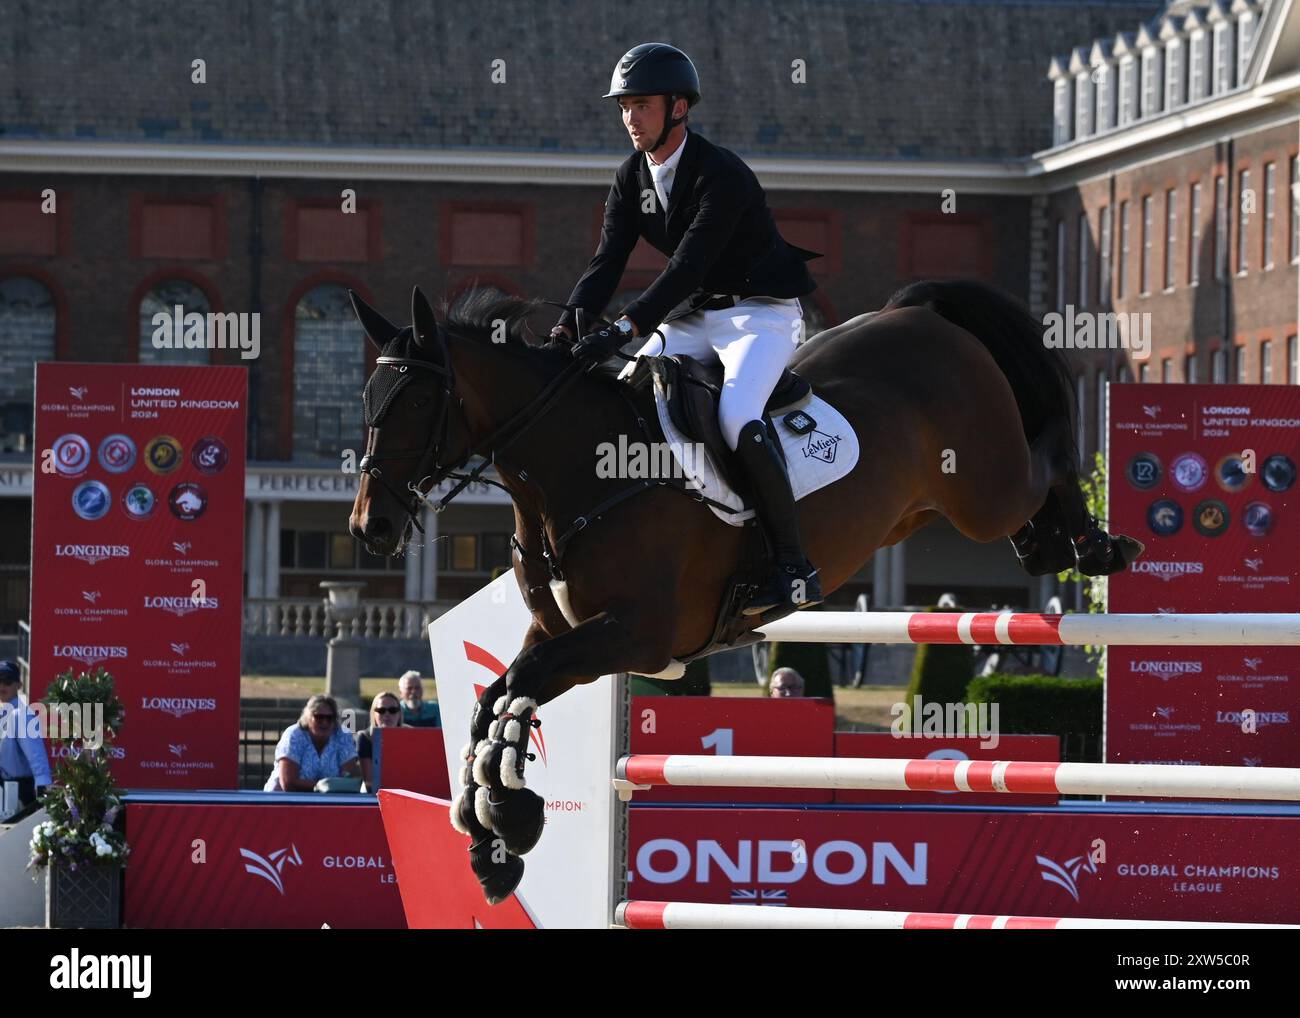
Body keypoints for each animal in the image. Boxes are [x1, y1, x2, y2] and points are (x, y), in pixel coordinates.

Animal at [351, 278, 1144, 899]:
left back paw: (1098, 541)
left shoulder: (635, 636)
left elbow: (516, 686)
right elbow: (496, 695)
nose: (371, 526)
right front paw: (493, 839)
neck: (579, 473)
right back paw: (1056, 542)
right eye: (367, 398)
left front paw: (508, 821)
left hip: (984, 489)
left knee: (1049, 456)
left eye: (416, 402)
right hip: (930, 503)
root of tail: (920, 315)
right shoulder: (561, 630)